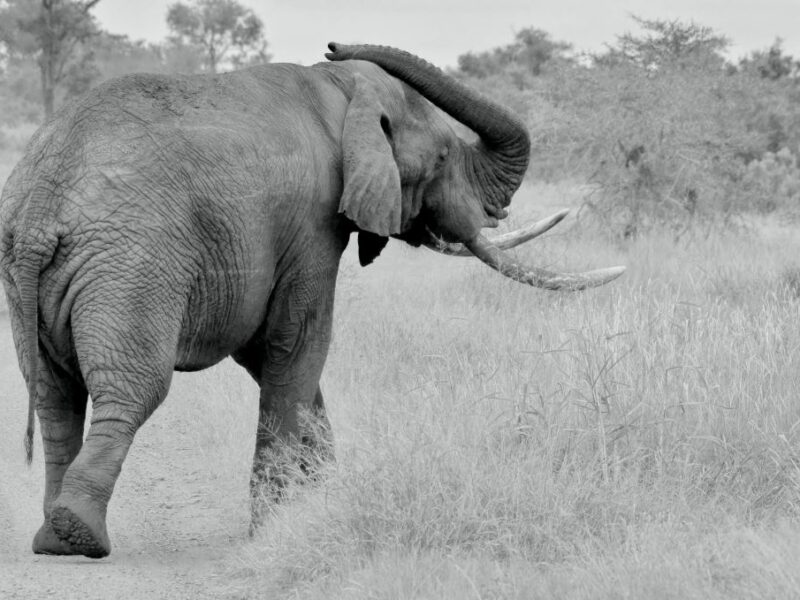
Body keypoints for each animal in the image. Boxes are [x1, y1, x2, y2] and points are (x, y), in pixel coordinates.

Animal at [0, 42, 624, 559]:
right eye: (445, 158)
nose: (333, 43)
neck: (340, 89)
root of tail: (40, 211)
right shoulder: (312, 221)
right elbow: (297, 342)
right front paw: (275, 528)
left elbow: (274, 357)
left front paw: (322, 499)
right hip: (132, 264)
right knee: (131, 389)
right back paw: (81, 536)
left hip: (34, 275)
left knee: (55, 395)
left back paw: (52, 538)